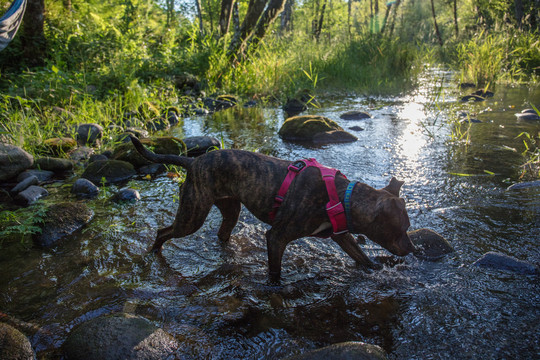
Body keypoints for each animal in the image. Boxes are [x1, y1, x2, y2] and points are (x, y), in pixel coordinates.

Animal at [130, 135, 414, 282]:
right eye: (402, 228)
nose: (413, 249)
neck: (344, 197)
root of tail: (193, 161)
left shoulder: (341, 236)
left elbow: (362, 257)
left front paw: (375, 269)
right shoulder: (277, 237)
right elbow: (275, 271)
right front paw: (276, 288)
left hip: (230, 209)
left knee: (222, 233)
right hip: (192, 216)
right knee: (163, 231)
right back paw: (155, 251)